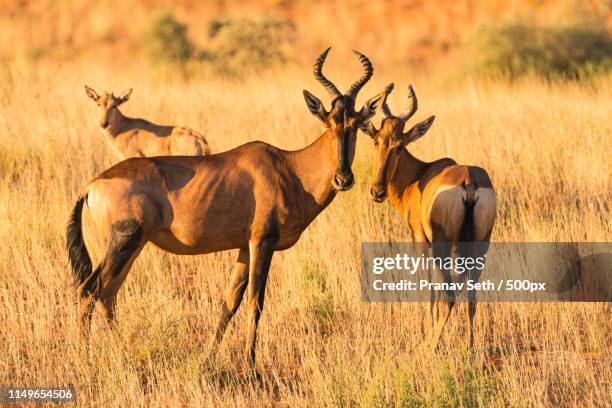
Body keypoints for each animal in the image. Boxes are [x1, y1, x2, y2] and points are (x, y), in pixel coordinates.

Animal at [69, 48, 384, 372]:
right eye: (329, 122)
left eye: (355, 124)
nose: (344, 178)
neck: (288, 167)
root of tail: (93, 183)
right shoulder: (262, 242)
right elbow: (256, 302)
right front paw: (251, 365)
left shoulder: (245, 247)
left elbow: (229, 301)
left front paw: (207, 358)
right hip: (123, 242)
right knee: (89, 290)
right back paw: (85, 357)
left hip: (133, 245)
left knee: (108, 294)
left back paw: (122, 351)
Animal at [360, 83, 494, 350]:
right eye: (377, 141)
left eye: (400, 145)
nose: (377, 192)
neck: (421, 173)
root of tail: (469, 182)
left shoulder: (421, 240)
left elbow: (430, 287)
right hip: (481, 244)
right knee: (472, 295)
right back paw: (470, 348)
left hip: (443, 245)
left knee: (450, 295)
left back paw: (428, 347)